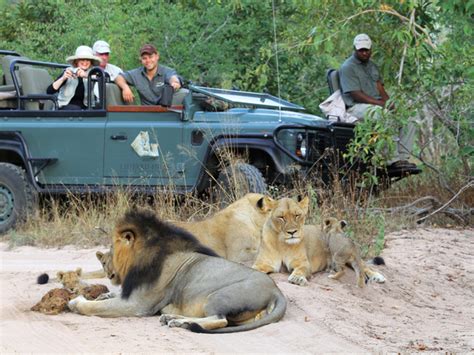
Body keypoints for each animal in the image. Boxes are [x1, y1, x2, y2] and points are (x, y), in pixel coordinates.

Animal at [68, 210, 286, 332]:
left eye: (112, 248)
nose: (104, 263)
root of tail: (277, 290)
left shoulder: (138, 305)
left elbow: (94, 308)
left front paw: (76, 302)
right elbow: (109, 297)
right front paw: (103, 295)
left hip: (220, 296)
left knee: (220, 320)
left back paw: (181, 323)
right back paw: (173, 319)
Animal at [252, 196, 386, 288]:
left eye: (297, 215)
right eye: (281, 217)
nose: (292, 232)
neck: (282, 243)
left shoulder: (304, 263)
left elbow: (300, 270)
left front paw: (297, 278)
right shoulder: (262, 264)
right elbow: (254, 270)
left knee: (364, 266)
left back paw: (378, 277)